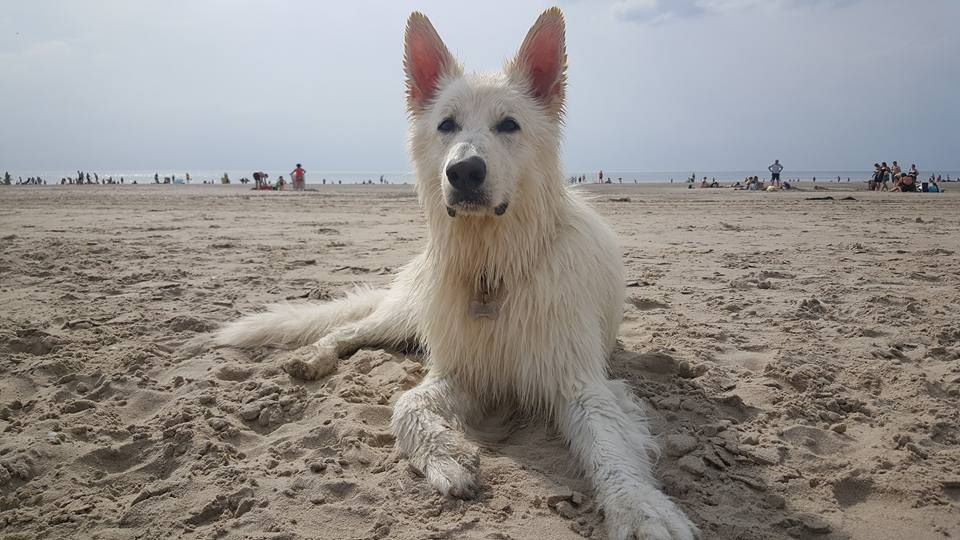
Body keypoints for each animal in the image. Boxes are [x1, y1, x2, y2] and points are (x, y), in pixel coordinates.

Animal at [215, 8, 698, 539]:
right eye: (446, 125)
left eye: (509, 125)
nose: (464, 172)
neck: (492, 265)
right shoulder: (463, 369)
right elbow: (407, 404)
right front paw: (448, 459)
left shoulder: (579, 383)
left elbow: (611, 450)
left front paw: (641, 510)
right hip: (405, 315)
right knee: (348, 330)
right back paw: (314, 357)